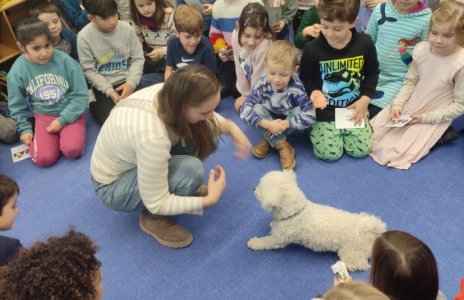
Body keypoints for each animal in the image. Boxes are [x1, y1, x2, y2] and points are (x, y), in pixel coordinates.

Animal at [248, 170, 386, 270]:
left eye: (260, 187)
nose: (253, 188)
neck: (296, 212)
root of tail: (371, 234)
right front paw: (272, 223)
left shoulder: (277, 240)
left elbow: (265, 241)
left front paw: (254, 243)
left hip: (351, 252)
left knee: (361, 265)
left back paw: (347, 265)